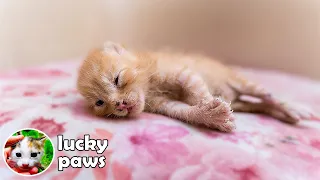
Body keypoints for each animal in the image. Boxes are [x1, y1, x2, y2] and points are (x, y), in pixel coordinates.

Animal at [77, 41, 318, 132]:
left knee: (265, 94)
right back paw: (288, 115)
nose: (120, 104)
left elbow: (196, 90)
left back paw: (294, 108)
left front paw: (210, 107)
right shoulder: (163, 104)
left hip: (240, 82)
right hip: (242, 104)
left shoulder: (182, 72)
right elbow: (185, 110)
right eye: (100, 103)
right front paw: (211, 115)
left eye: (117, 79)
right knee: (261, 105)